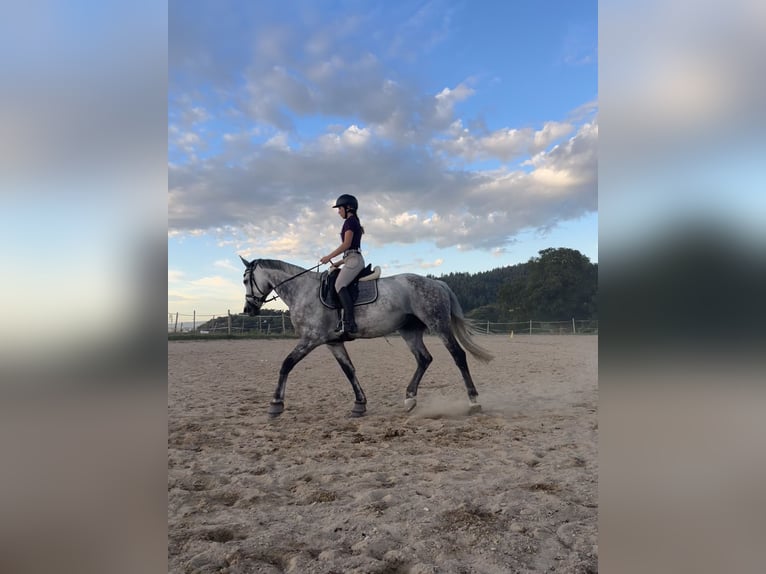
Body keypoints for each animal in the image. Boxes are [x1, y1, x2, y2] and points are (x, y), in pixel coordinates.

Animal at [240, 257, 493, 418]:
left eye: (244, 280)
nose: (248, 310)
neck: (303, 291)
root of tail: (437, 282)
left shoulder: (311, 339)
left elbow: (286, 365)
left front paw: (276, 404)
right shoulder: (333, 342)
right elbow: (349, 370)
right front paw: (359, 405)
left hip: (438, 325)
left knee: (458, 356)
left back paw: (473, 401)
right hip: (409, 331)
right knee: (424, 359)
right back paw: (410, 399)